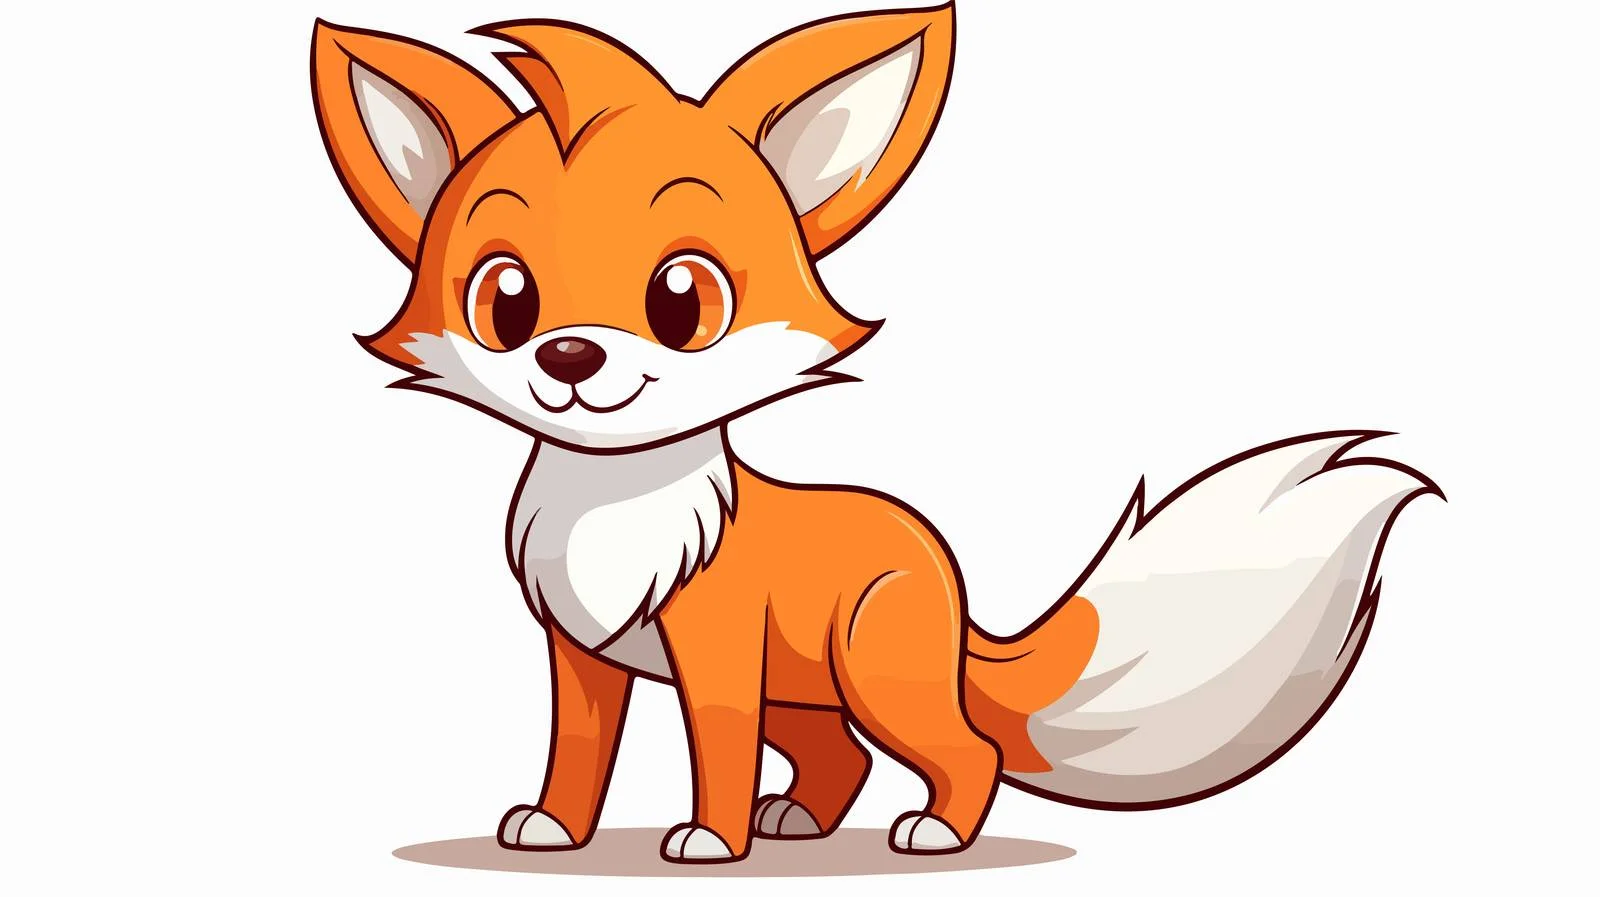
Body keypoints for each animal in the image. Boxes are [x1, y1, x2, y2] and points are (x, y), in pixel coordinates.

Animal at [308, 3, 1438, 863]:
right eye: (506, 301)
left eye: (682, 300)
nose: (571, 358)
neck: (615, 505)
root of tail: (940, 562)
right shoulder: (581, 651)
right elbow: (577, 756)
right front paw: (555, 826)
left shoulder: (715, 652)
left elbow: (716, 755)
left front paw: (710, 842)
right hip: (810, 689)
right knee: (838, 758)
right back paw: (801, 820)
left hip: (869, 670)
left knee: (966, 751)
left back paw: (930, 831)